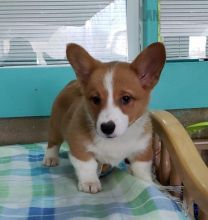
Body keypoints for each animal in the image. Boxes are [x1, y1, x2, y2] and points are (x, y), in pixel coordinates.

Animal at [42, 42, 166, 193]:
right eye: (95, 99)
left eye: (126, 98)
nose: (107, 128)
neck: (117, 140)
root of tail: (72, 82)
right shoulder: (79, 146)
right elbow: (87, 165)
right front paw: (89, 182)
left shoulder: (142, 152)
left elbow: (141, 171)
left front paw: (148, 183)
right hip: (56, 125)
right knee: (53, 143)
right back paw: (50, 158)